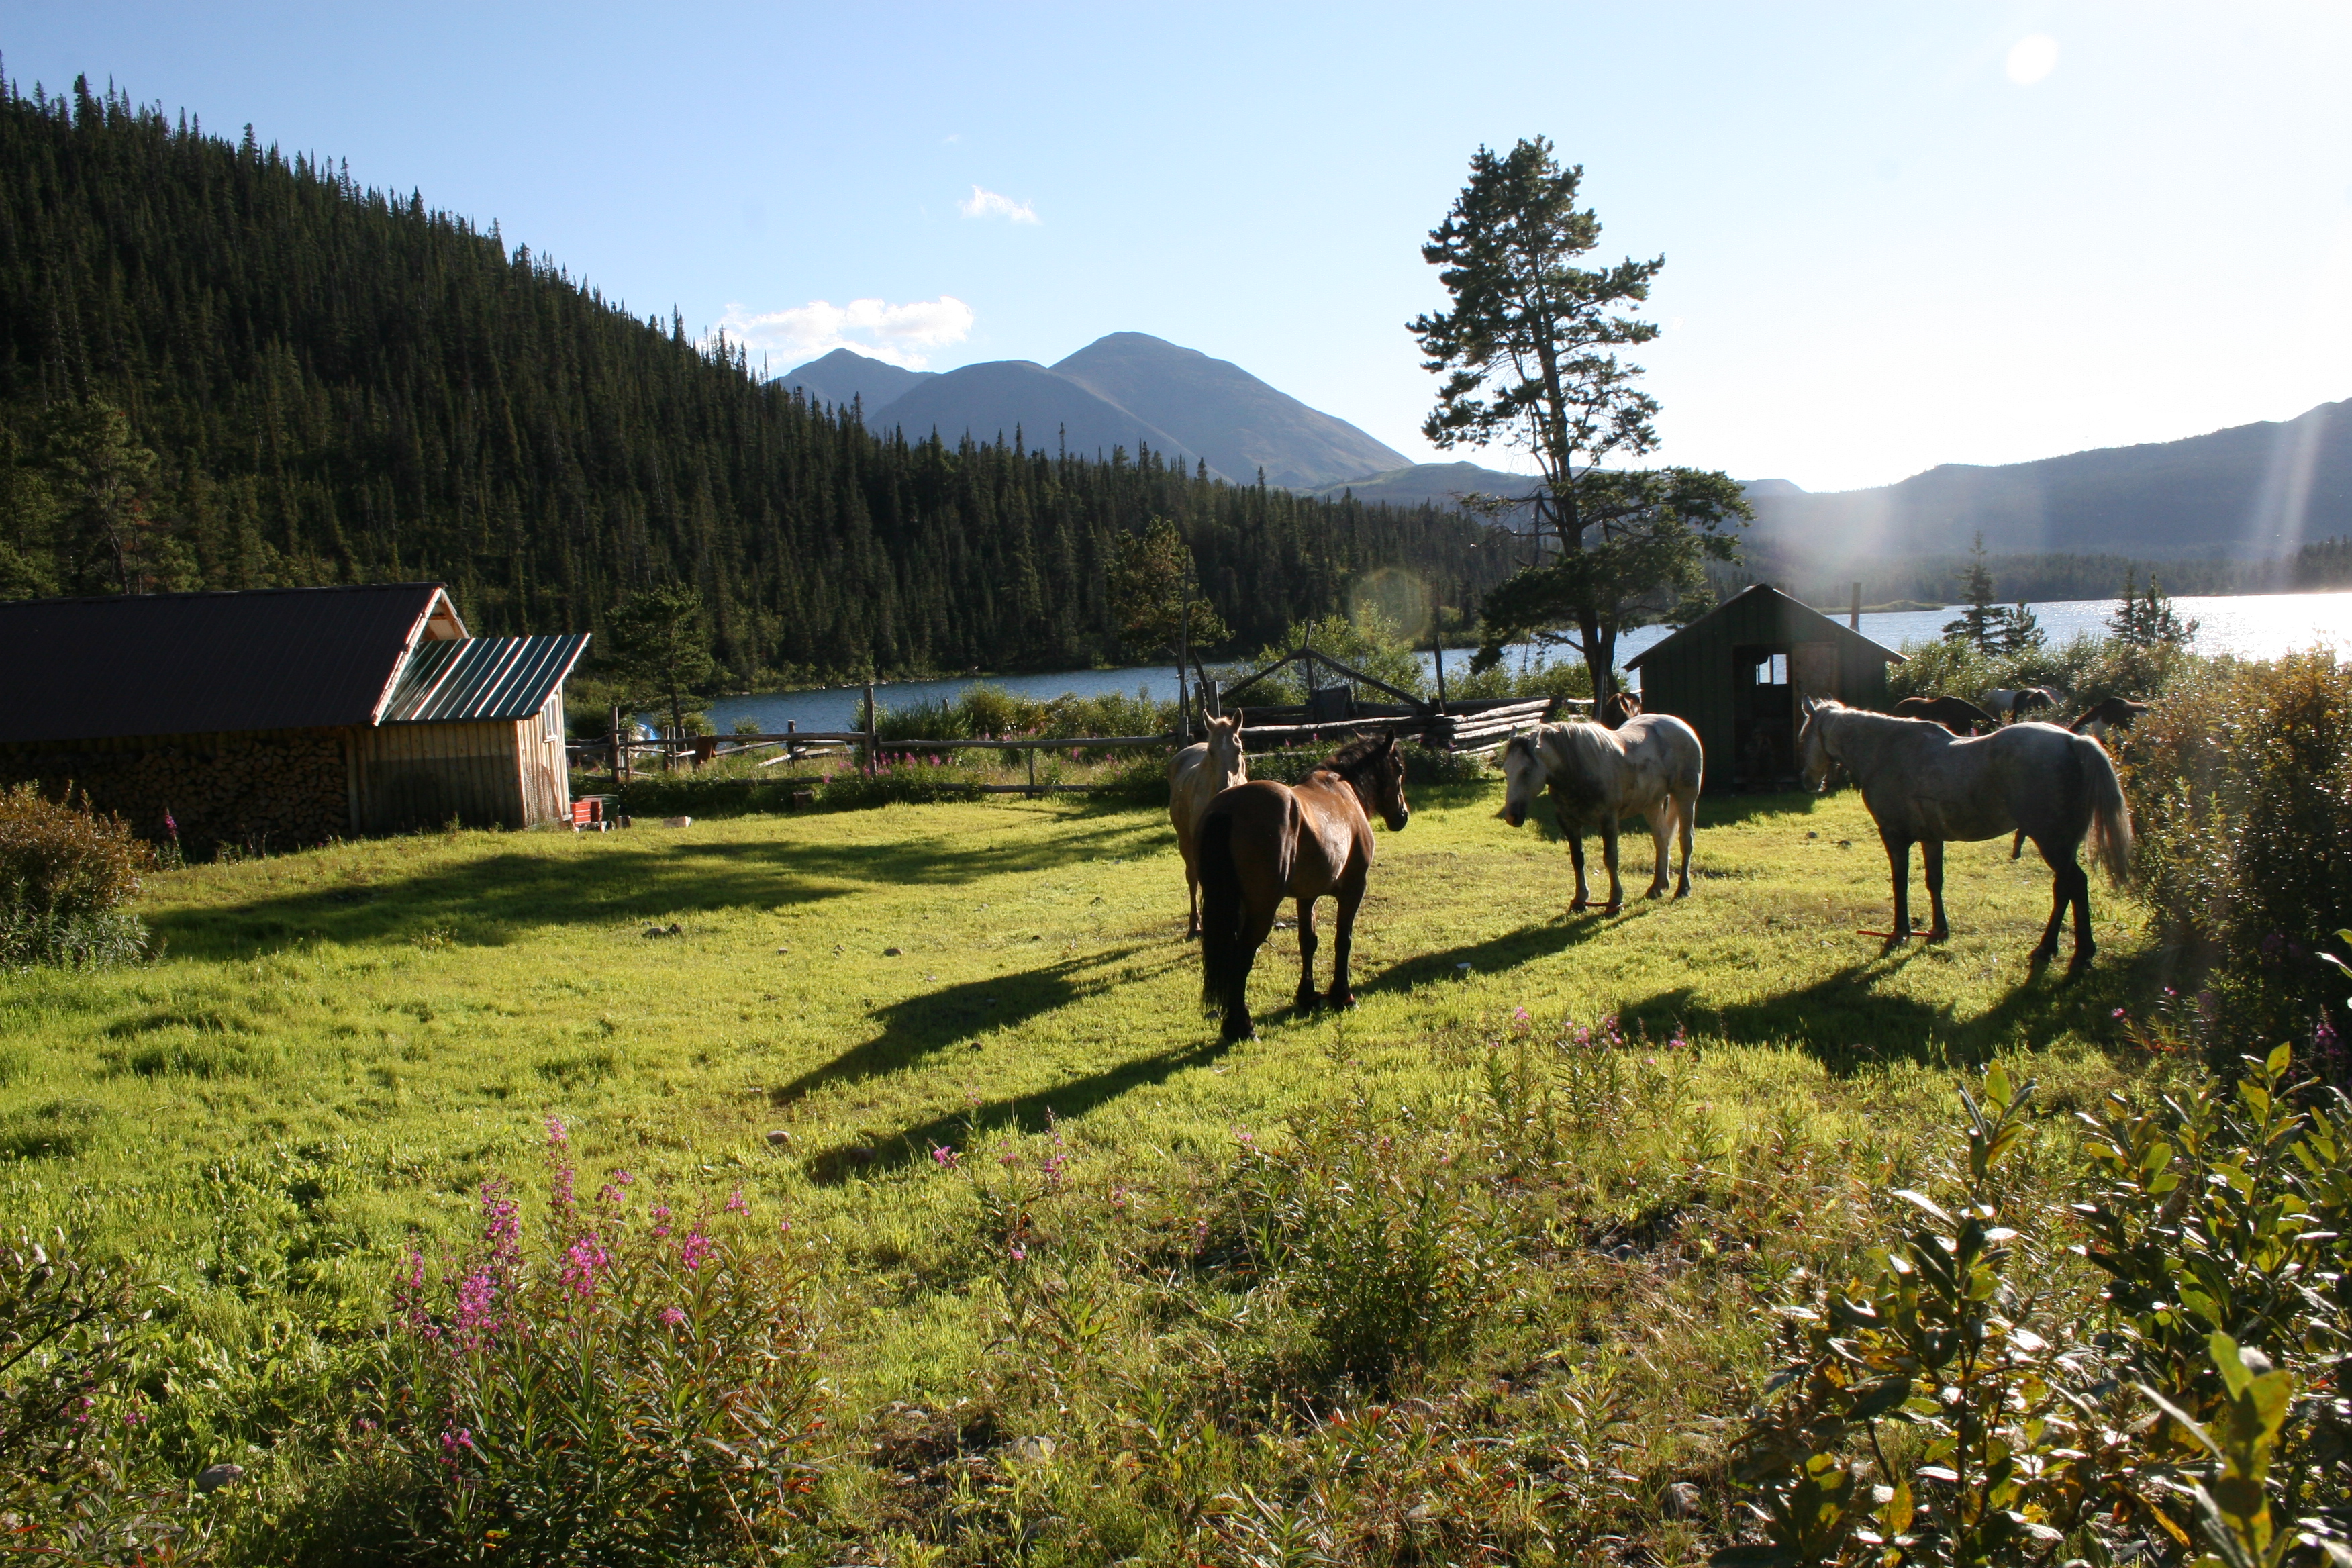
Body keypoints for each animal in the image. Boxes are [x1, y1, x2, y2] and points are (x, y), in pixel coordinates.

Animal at [1171, 714, 1251, 944]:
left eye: (1239, 750)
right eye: (1211, 751)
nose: (1225, 789)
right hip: (1186, 842)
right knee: (1192, 877)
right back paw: (1194, 926)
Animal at [1204, 733, 1402, 1043]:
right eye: (1400, 769)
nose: (1402, 816)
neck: (1344, 791)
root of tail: (1230, 806)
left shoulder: (1307, 896)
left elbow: (1308, 942)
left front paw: (1308, 997)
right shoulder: (1354, 889)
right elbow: (1343, 940)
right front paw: (1343, 996)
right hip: (1262, 910)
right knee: (1242, 955)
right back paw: (1241, 1027)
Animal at [1505, 719, 1712, 912]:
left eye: (1526, 771)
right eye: (1506, 770)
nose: (1512, 816)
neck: (1579, 769)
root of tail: (1680, 725)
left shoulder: (1609, 821)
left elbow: (1611, 859)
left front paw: (1615, 901)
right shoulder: (1569, 823)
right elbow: (1577, 859)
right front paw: (1579, 900)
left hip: (1686, 797)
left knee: (1686, 841)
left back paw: (1683, 889)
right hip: (1652, 803)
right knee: (1661, 840)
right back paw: (1657, 888)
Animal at [1797, 700, 2135, 968]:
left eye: (1802, 737)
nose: (1807, 780)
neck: (1886, 751)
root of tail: (2074, 741)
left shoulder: (1894, 836)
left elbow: (1900, 883)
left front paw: (1899, 933)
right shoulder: (1931, 838)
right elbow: (1934, 882)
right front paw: (1938, 931)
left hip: (2052, 841)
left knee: (2072, 884)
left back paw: (2071, 952)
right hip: (2063, 844)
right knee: (2067, 887)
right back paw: (2055, 949)